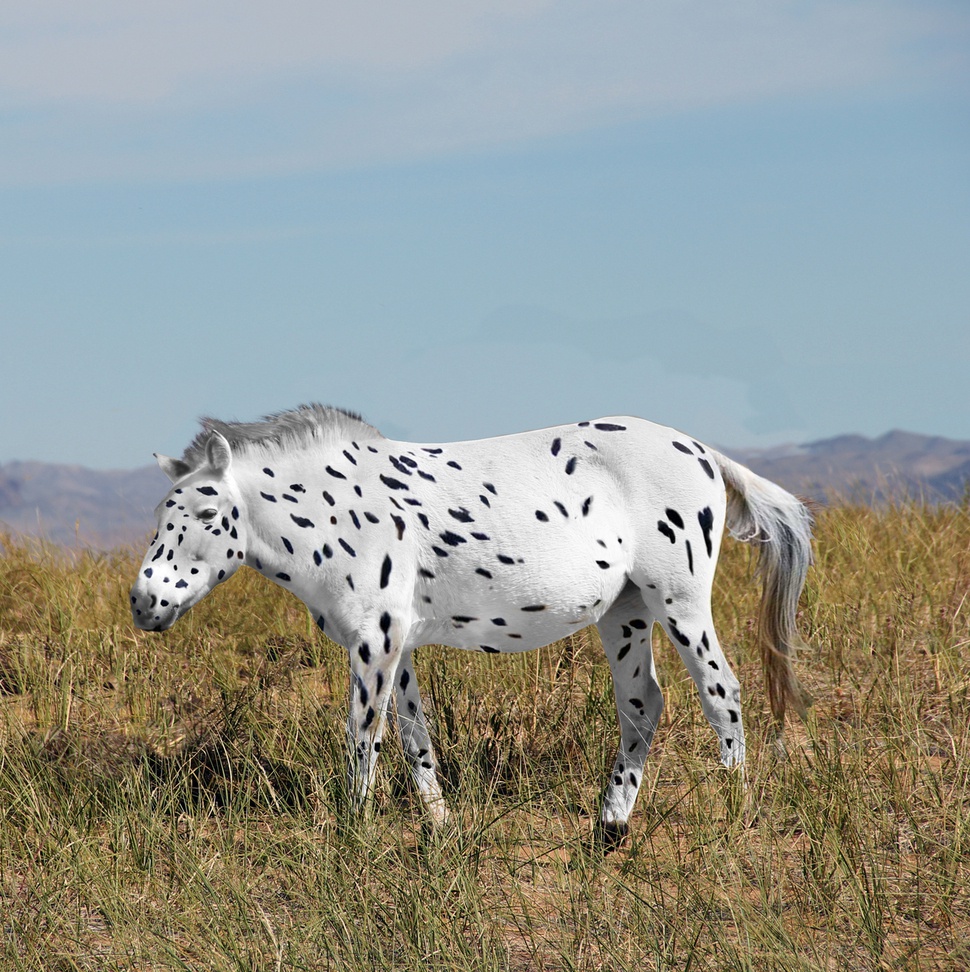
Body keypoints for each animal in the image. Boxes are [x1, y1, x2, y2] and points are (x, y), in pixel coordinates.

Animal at [126, 406, 808, 848]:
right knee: (643, 703)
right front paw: (440, 827)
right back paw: (611, 826)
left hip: (680, 603)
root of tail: (705, 453)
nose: (144, 601)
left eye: (207, 513)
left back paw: (736, 813)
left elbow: (363, 737)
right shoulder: (394, 645)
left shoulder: (374, 640)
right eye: (161, 511)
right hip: (626, 612)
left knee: (721, 693)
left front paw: (352, 834)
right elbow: (413, 738)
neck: (337, 507)